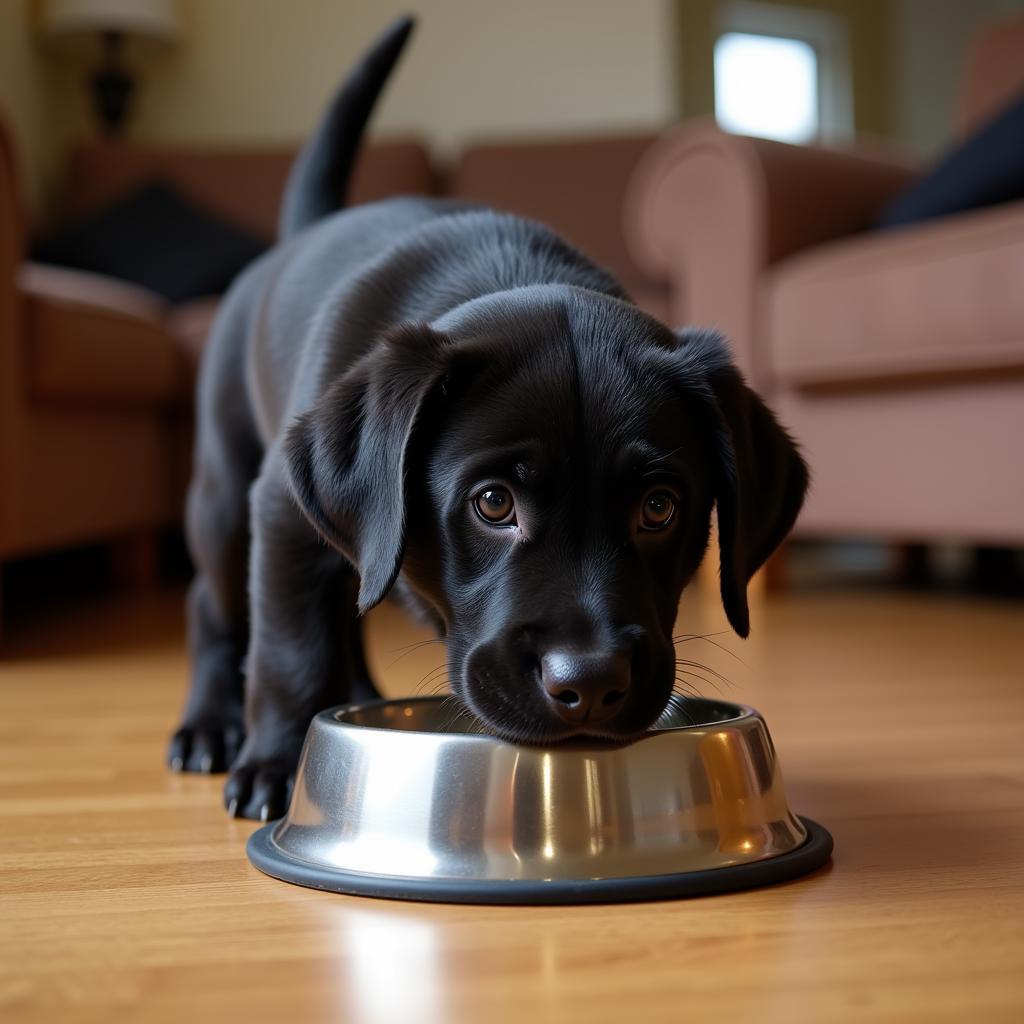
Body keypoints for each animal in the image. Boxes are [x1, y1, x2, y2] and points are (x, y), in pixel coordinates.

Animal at [169, 16, 806, 819]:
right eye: (494, 503)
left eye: (660, 508)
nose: (590, 684)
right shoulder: (283, 513)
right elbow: (289, 648)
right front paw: (277, 764)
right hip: (229, 493)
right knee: (213, 603)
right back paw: (210, 728)